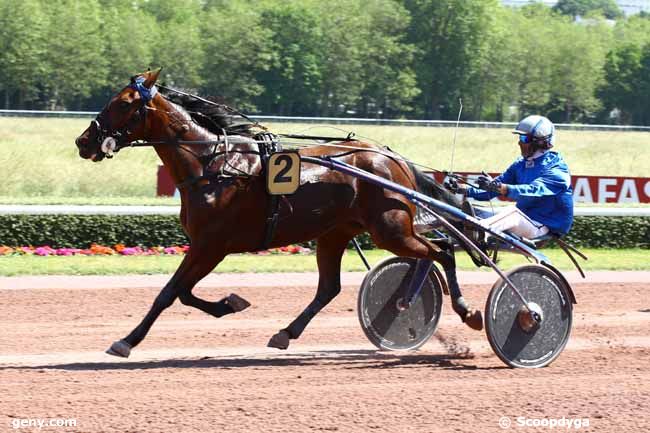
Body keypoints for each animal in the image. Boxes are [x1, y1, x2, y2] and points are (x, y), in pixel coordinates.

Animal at [76, 69, 480, 356]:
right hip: (336, 233)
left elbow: (170, 292)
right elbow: (184, 293)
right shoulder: (206, 246)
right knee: (330, 287)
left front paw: (127, 341)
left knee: (443, 251)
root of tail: (391, 159)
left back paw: (467, 310)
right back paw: (285, 333)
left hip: (390, 230)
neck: (211, 165)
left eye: (124, 103)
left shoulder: (211, 245)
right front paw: (230, 304)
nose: (84, 141)